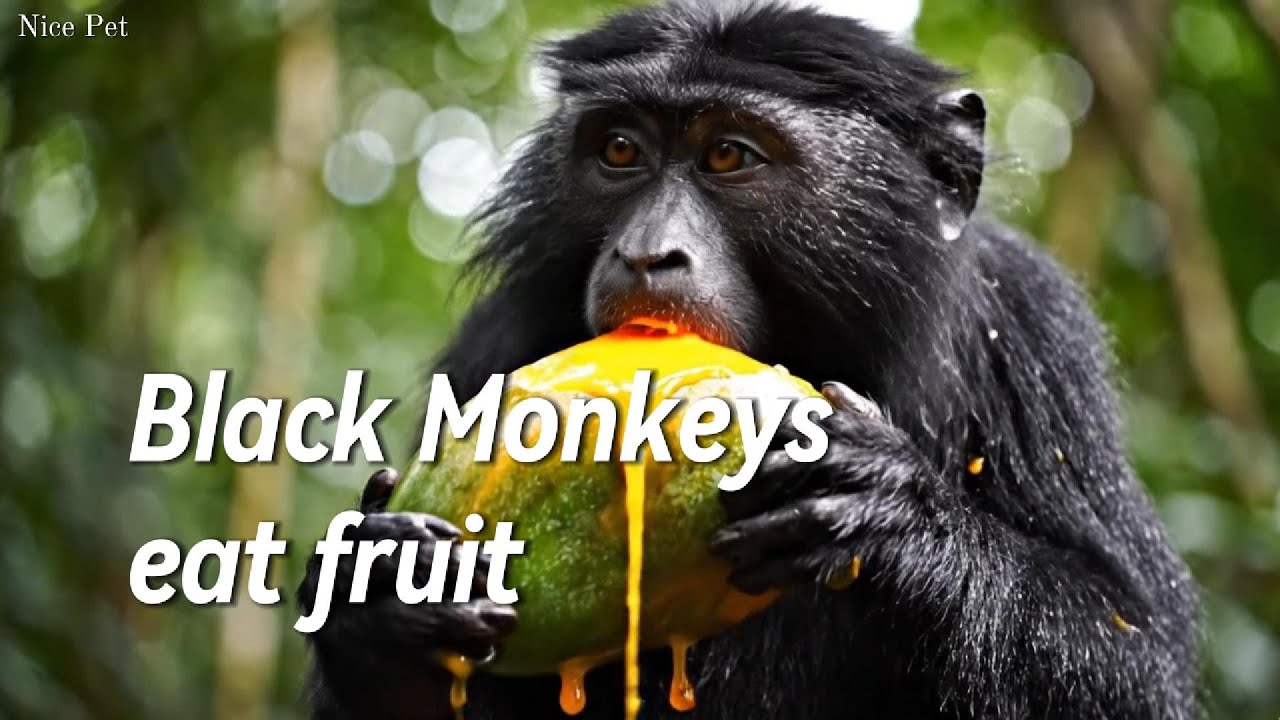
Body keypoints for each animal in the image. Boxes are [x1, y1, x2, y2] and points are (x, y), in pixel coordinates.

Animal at [297, 2, 1200, 718]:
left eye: (728, 156)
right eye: (619, 150)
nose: (647, 252)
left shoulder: (1035, 331)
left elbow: (1141, 658)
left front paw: (896, 513)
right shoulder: (494, 340)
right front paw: (379, 598)